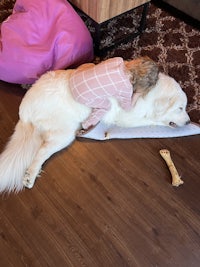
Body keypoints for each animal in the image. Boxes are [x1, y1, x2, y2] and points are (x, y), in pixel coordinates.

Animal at [0, 65, 190, 195]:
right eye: (180, 108)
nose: (189, 121)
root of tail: (25, 111)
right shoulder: (127, 116)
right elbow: (151, 120)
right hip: (64, 135)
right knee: (41, 153)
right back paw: (30, 176)